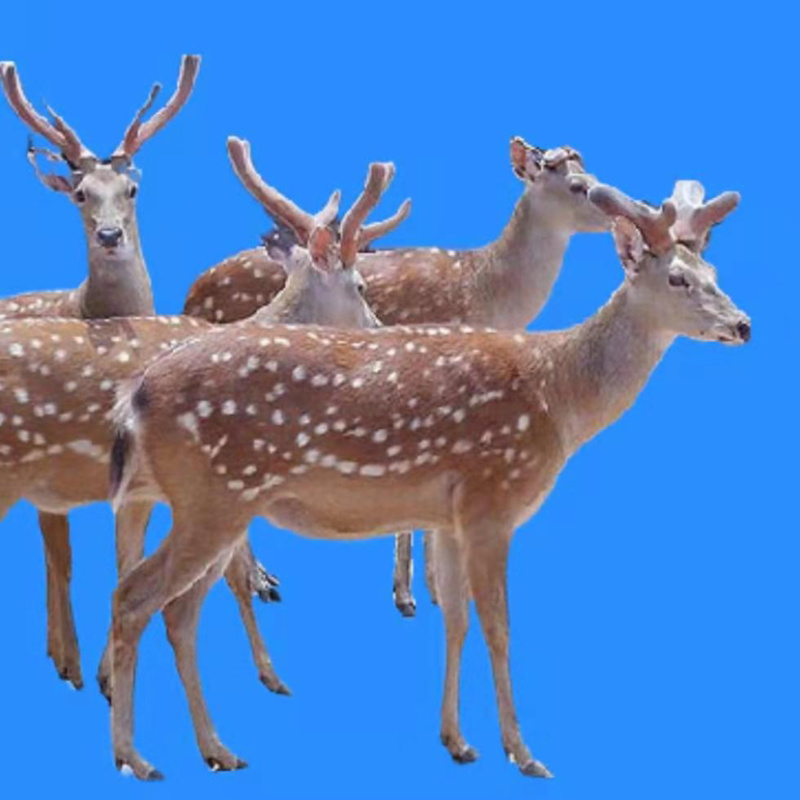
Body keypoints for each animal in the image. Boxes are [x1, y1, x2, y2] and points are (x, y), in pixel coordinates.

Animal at [185, 136, 611, 616]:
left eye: (594, 175)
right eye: (578, 186)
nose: (621, 209)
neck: (489, 292)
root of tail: (191, 292)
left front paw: (422, 589)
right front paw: (417, 593)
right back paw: (260, 580)